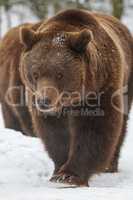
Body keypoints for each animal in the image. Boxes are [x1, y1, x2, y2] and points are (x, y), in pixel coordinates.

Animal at [0, 9, 133, 188]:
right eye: (35, 73)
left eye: (59, 74)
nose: (44, 101)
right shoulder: (39, 101)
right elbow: (55, 133)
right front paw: (59, 170)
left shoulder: (101, 88)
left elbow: (95, 130)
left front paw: (70, 175)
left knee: (120, 128)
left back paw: (109, 167)